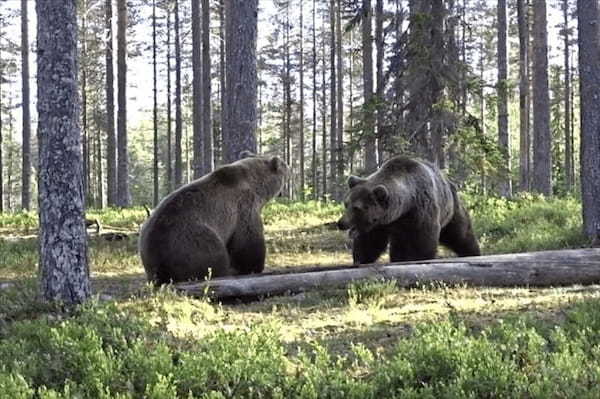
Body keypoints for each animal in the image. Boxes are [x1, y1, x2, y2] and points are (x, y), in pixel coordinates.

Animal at [141, 155, 290, 286]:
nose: (287, 164)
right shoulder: (244, 207)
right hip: (192, 239)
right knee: (214, 257)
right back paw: (228, 270)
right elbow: (249, 240)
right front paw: (253, 266)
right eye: (284, 168)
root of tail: (159, 265)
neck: (256, 185)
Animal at [338, 156, 482, 266]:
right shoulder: (379, 224)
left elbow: (423, 240)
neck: (405, 207)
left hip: (450, 210)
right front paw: (360, 259)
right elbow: (369, 241)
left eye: (357, 208)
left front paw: (417, 258)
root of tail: (449, 181)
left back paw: (473, 252)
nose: (341, 223)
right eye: (346, 204)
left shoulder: (421, 212)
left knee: (460, 233)